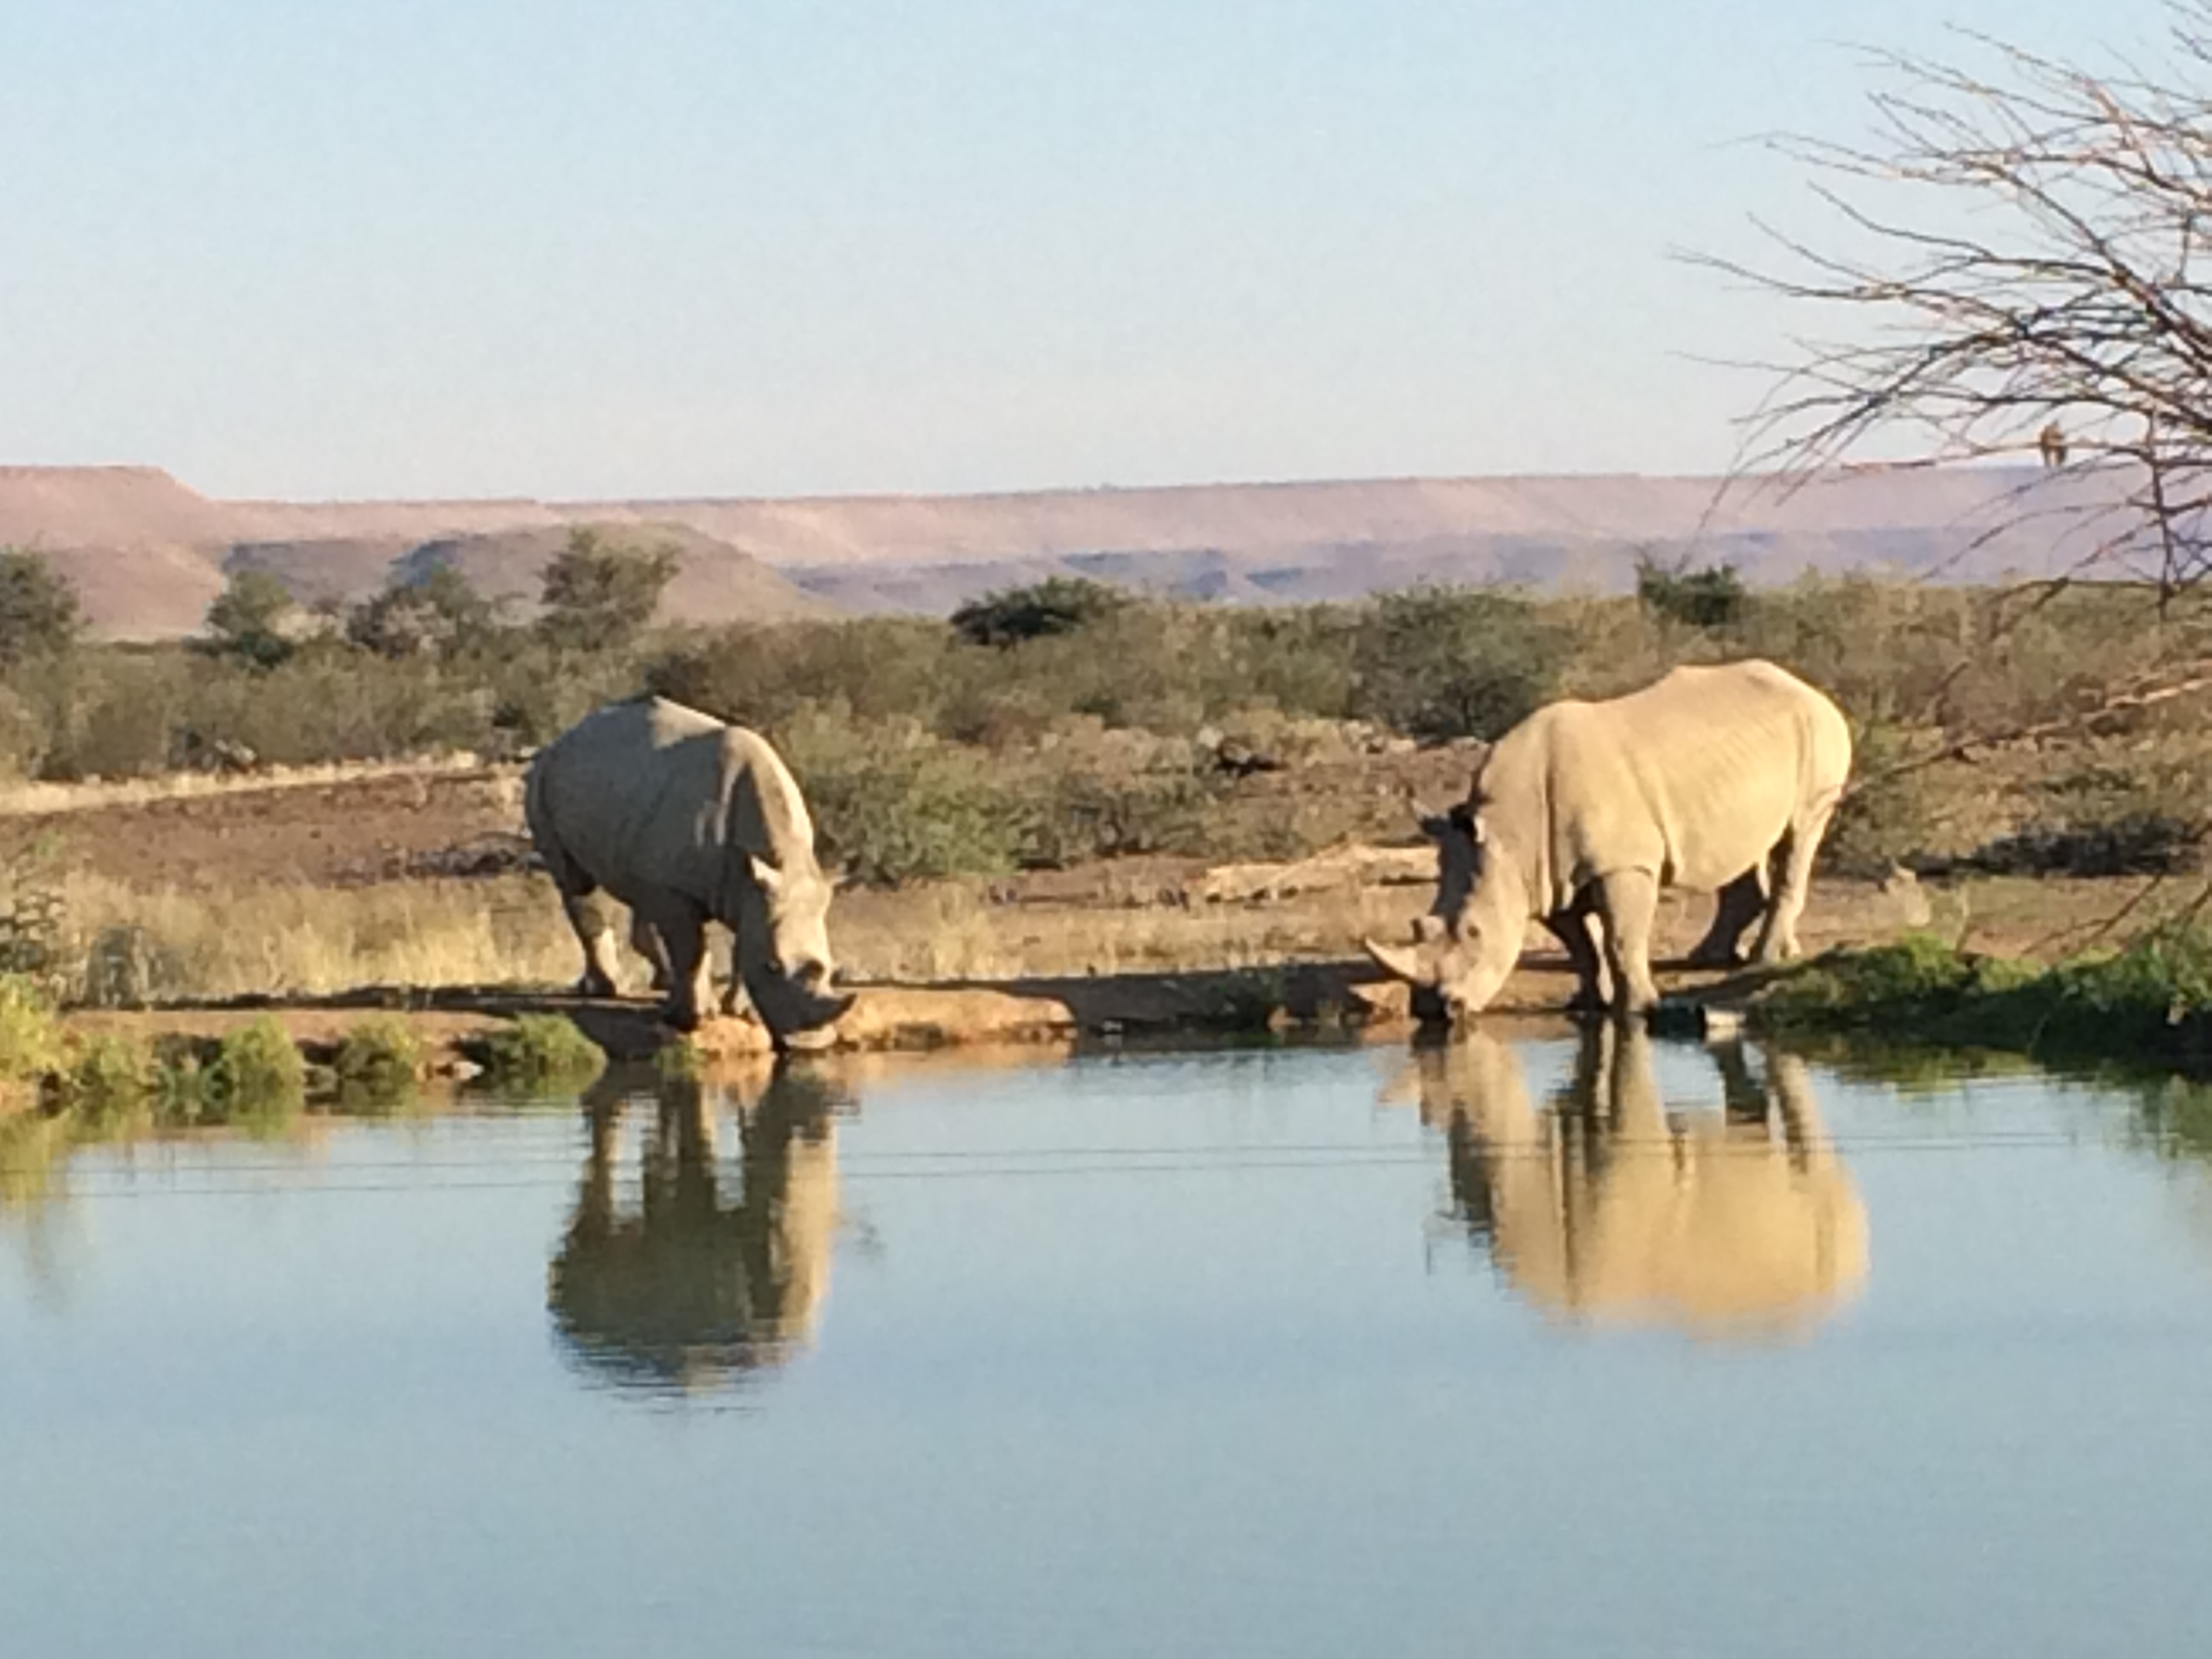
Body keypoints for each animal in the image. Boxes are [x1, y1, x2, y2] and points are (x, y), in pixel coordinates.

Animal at [525, 696, 854, 1042]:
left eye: (830, 968)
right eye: (773, 966)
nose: (812, 1045)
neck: (781, 858)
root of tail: (567, 736)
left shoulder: (753, 889)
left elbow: (742, 946)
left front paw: (740, 1012)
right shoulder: (685, 889)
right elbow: (692, 949)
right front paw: (695, 1018)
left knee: (642, 894)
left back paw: (662, 983)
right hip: (544, 777)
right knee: (575, 883)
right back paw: (608, 990)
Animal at [1366, 660, 1852, 1019]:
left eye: (1474, 932)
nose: (1436, 1010)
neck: (1509, 831)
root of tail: (1811, 689)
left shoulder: (1624, 863)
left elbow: (1622, 938)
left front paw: (1638, 1008)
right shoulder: (1544, 878)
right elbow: (1581, 944)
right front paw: (1585, 1003)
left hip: (1820, 739)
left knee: (1801, 834)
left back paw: (1762, 960)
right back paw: (1716, 957)